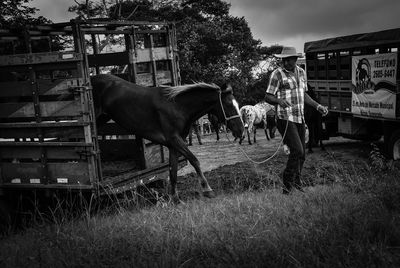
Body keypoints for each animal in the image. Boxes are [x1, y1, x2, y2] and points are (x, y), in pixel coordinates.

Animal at [92, 74, 245, 202]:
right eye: (229, 105)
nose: (242, 131)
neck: (177, 106)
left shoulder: (173, 145)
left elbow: (173, 171)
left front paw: (175, 198)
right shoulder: (174, 140)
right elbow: (194, 160)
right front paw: (207, 190)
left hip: (102, 118)